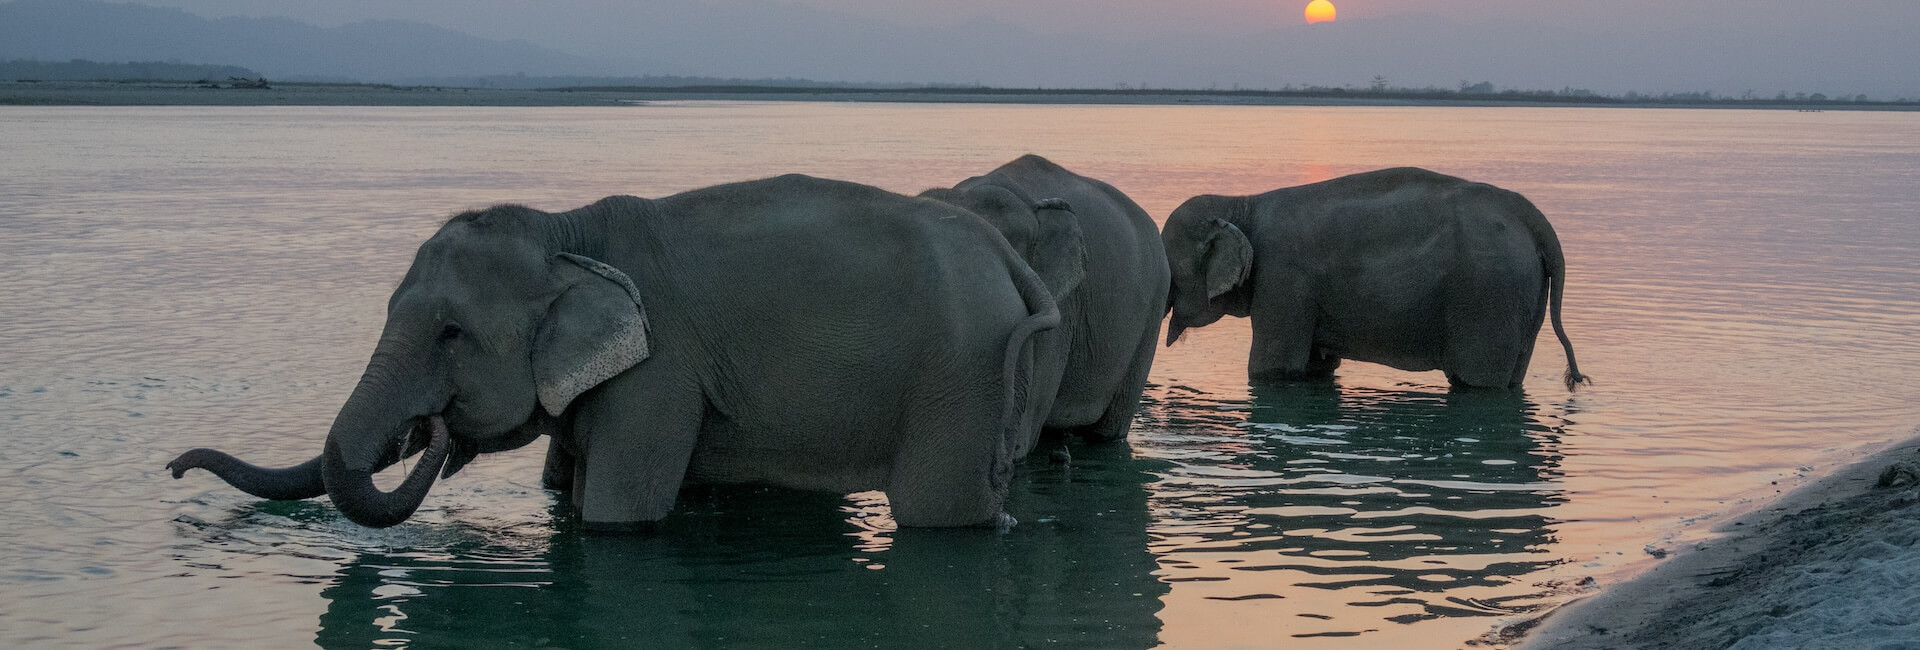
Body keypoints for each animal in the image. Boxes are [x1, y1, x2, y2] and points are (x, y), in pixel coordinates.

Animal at [161, 175, 1067, 533]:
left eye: (451, 334)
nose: (170, 467)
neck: (569, 233)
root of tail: (1009, 259)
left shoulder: (660, 374)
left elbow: (617, 516)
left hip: (960, 375)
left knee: (939, 516)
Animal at [1167, 167, 1589, 393]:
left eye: (1171, 273)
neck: (1241, 203)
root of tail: (1532, 218)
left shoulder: (1283, 281)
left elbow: (1272, 367)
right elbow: (1315, 367)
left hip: (1489, 297)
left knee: (1477, 381)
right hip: (1521, 299)